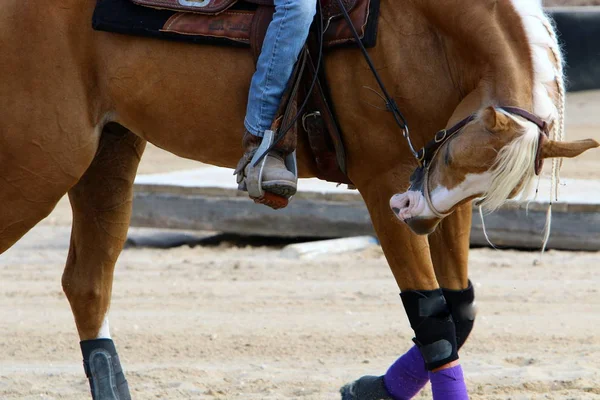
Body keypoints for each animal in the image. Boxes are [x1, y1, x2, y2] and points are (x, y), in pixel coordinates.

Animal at [0, 0, 596, 398]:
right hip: (42, 161)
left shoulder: (437, 193)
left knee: (87, 283)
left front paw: (372, 387)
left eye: (475, 178)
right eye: (453, 155)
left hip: (110, 151)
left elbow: (460, 310)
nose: (413, 214)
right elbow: (434, 322)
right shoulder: (384, 181)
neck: (422, 26)